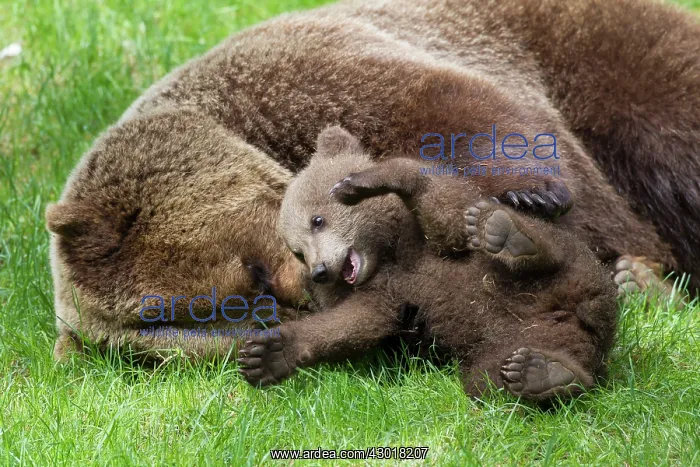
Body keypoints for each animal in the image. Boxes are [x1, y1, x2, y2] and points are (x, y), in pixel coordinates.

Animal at [48, 0, 700, 360]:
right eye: (217, 319)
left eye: (251, 272)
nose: (307, 288)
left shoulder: (308, 78)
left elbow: (464, 115)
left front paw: (532, 199)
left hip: (607, 53)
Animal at [237, 126, 618, 401]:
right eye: (297, 251)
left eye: (317, 220)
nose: (320, 272)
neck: (385, 256)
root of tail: (586, 319)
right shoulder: (383, 296)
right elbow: (350, 324)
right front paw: (267, 355)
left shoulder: (431, 242)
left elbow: (448, 216)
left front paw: (361, 182)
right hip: (519, 341)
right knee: (491, 377)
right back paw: (544, 374)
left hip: (578, 268)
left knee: (554, 248)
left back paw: (509, 233)